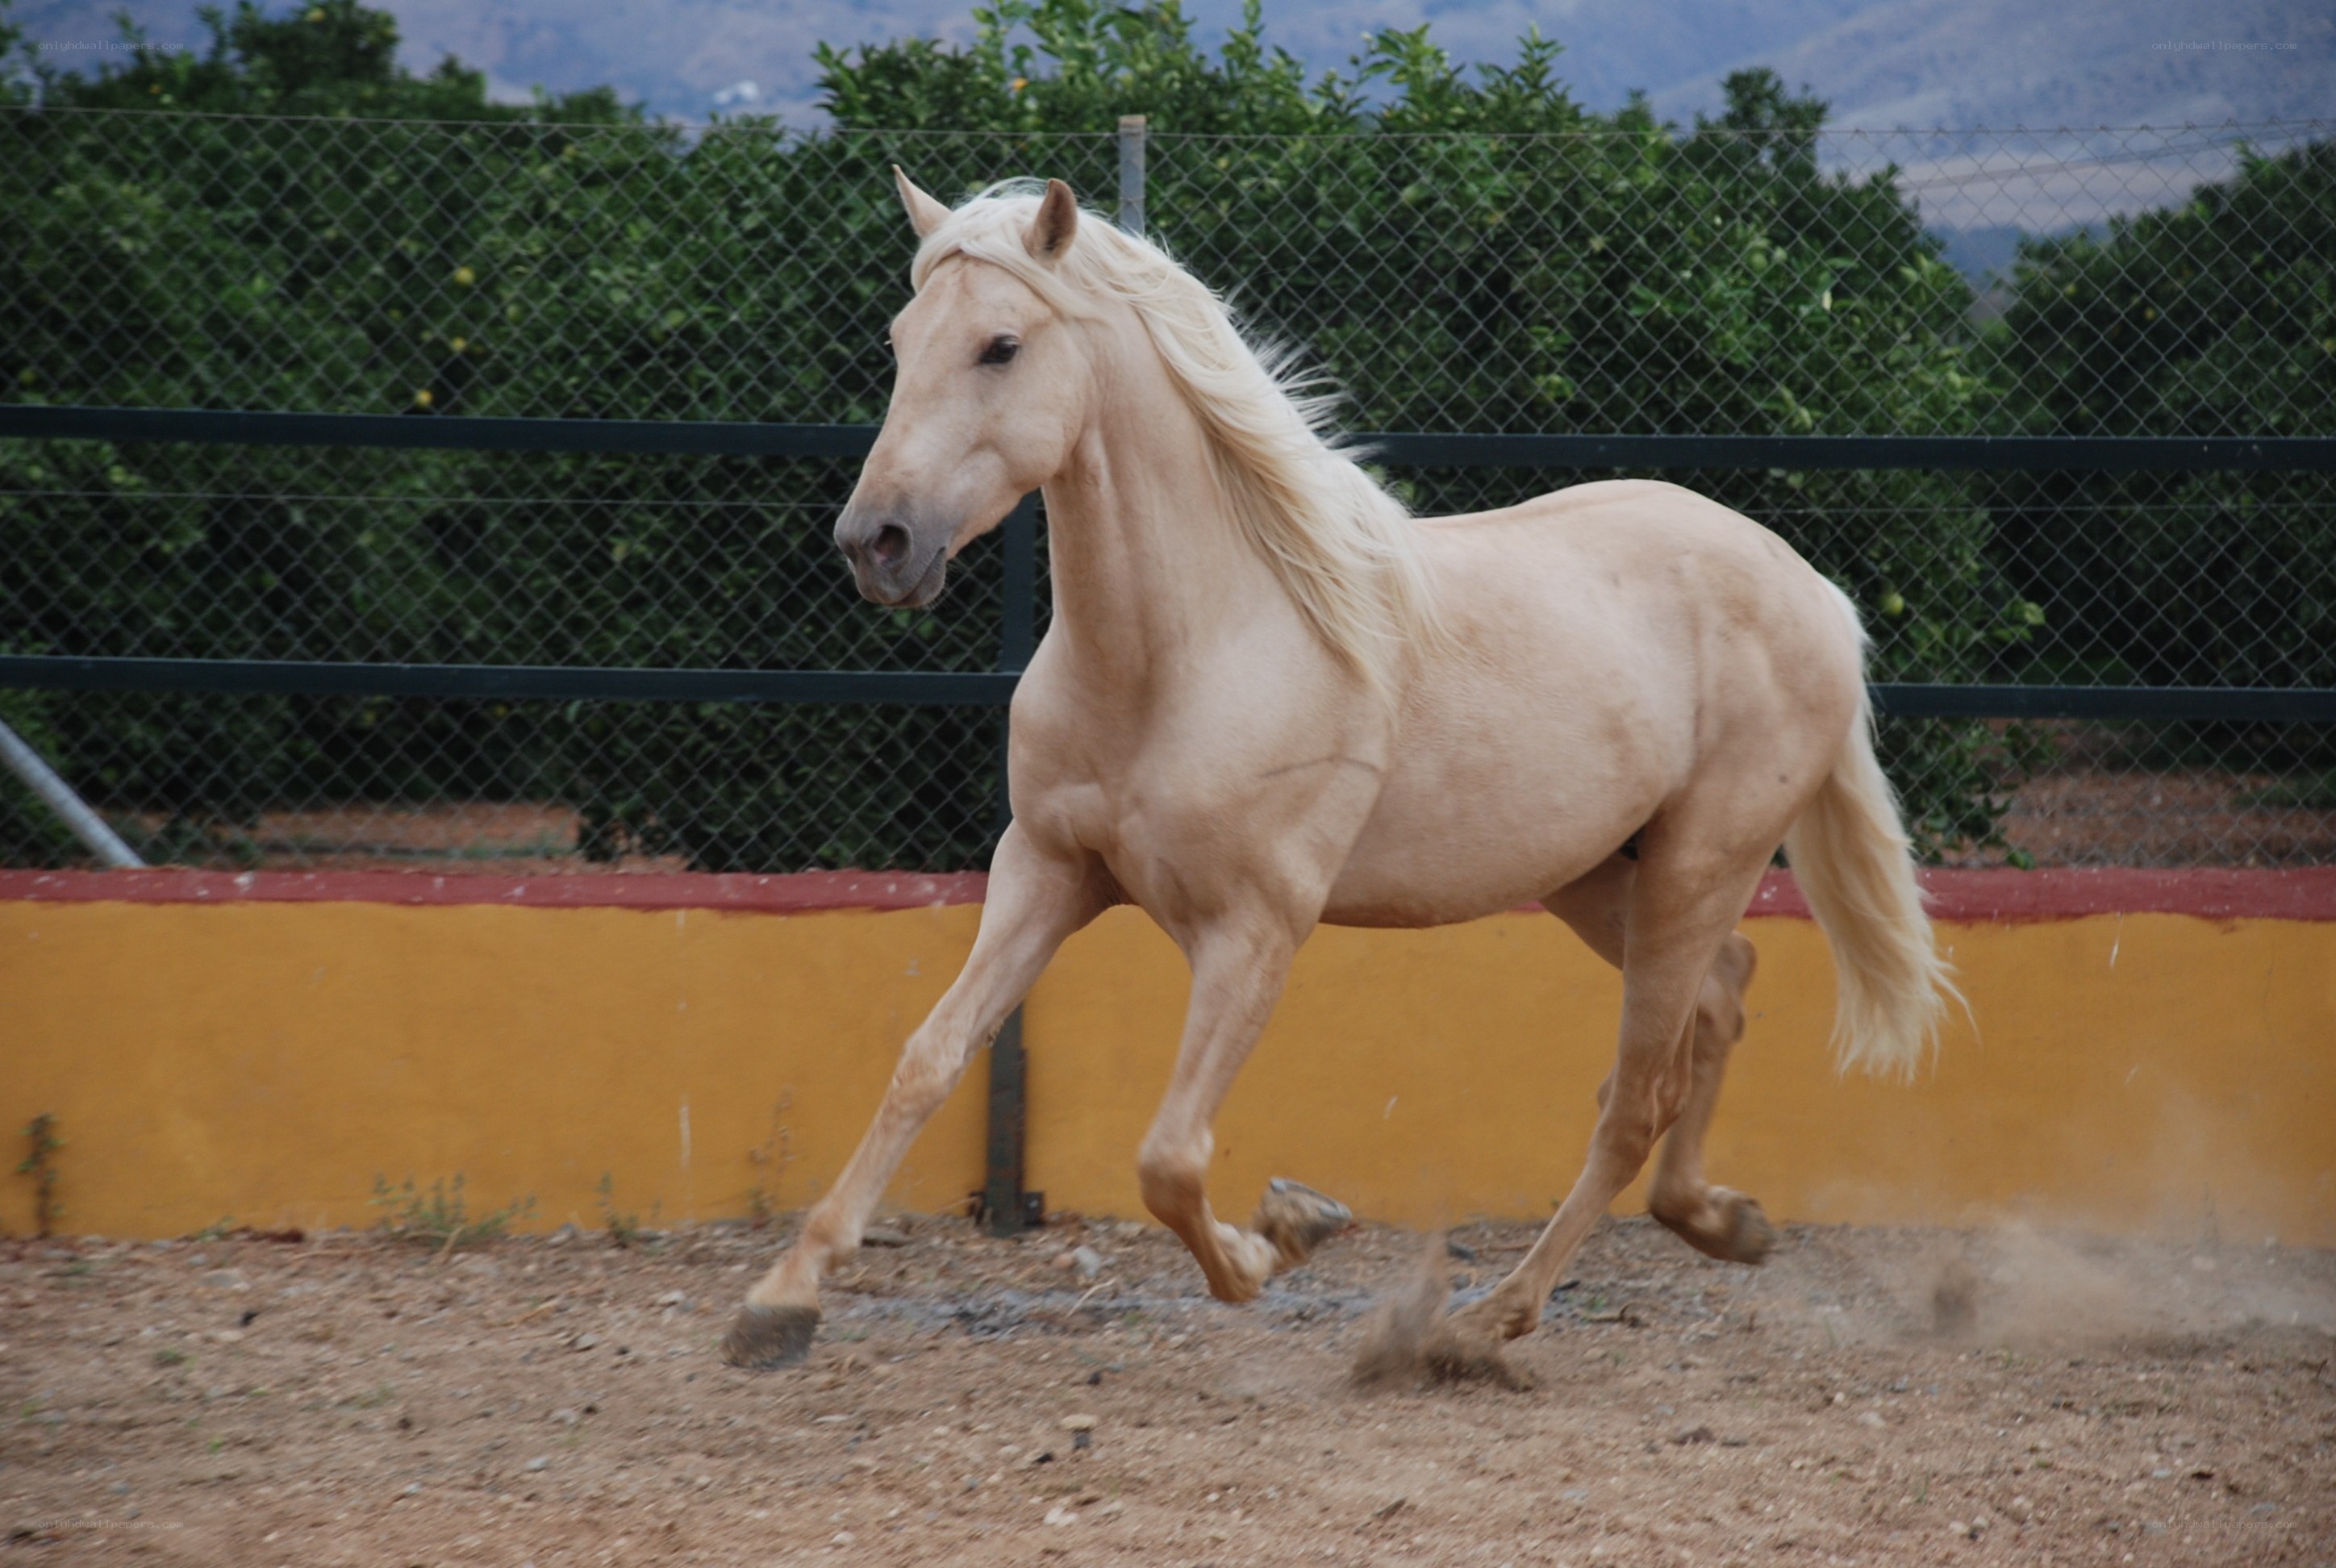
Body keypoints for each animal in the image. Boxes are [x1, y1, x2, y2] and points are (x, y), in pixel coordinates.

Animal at [721, 173, 1956, 1371]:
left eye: (1001, 346)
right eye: (900, 339)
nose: (877, 543)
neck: (1189, 650)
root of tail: (1813, 589)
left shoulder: (1254, 929)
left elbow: (1169, 1157)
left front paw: (1282, 1236)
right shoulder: (1047, 872)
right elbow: (929, 1059)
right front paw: (780, 1301)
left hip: (1701, 864)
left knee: (1636, 1097)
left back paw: (1486, 1323)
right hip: (1602, 875)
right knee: (1722, 994)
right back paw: (1720, 1221)